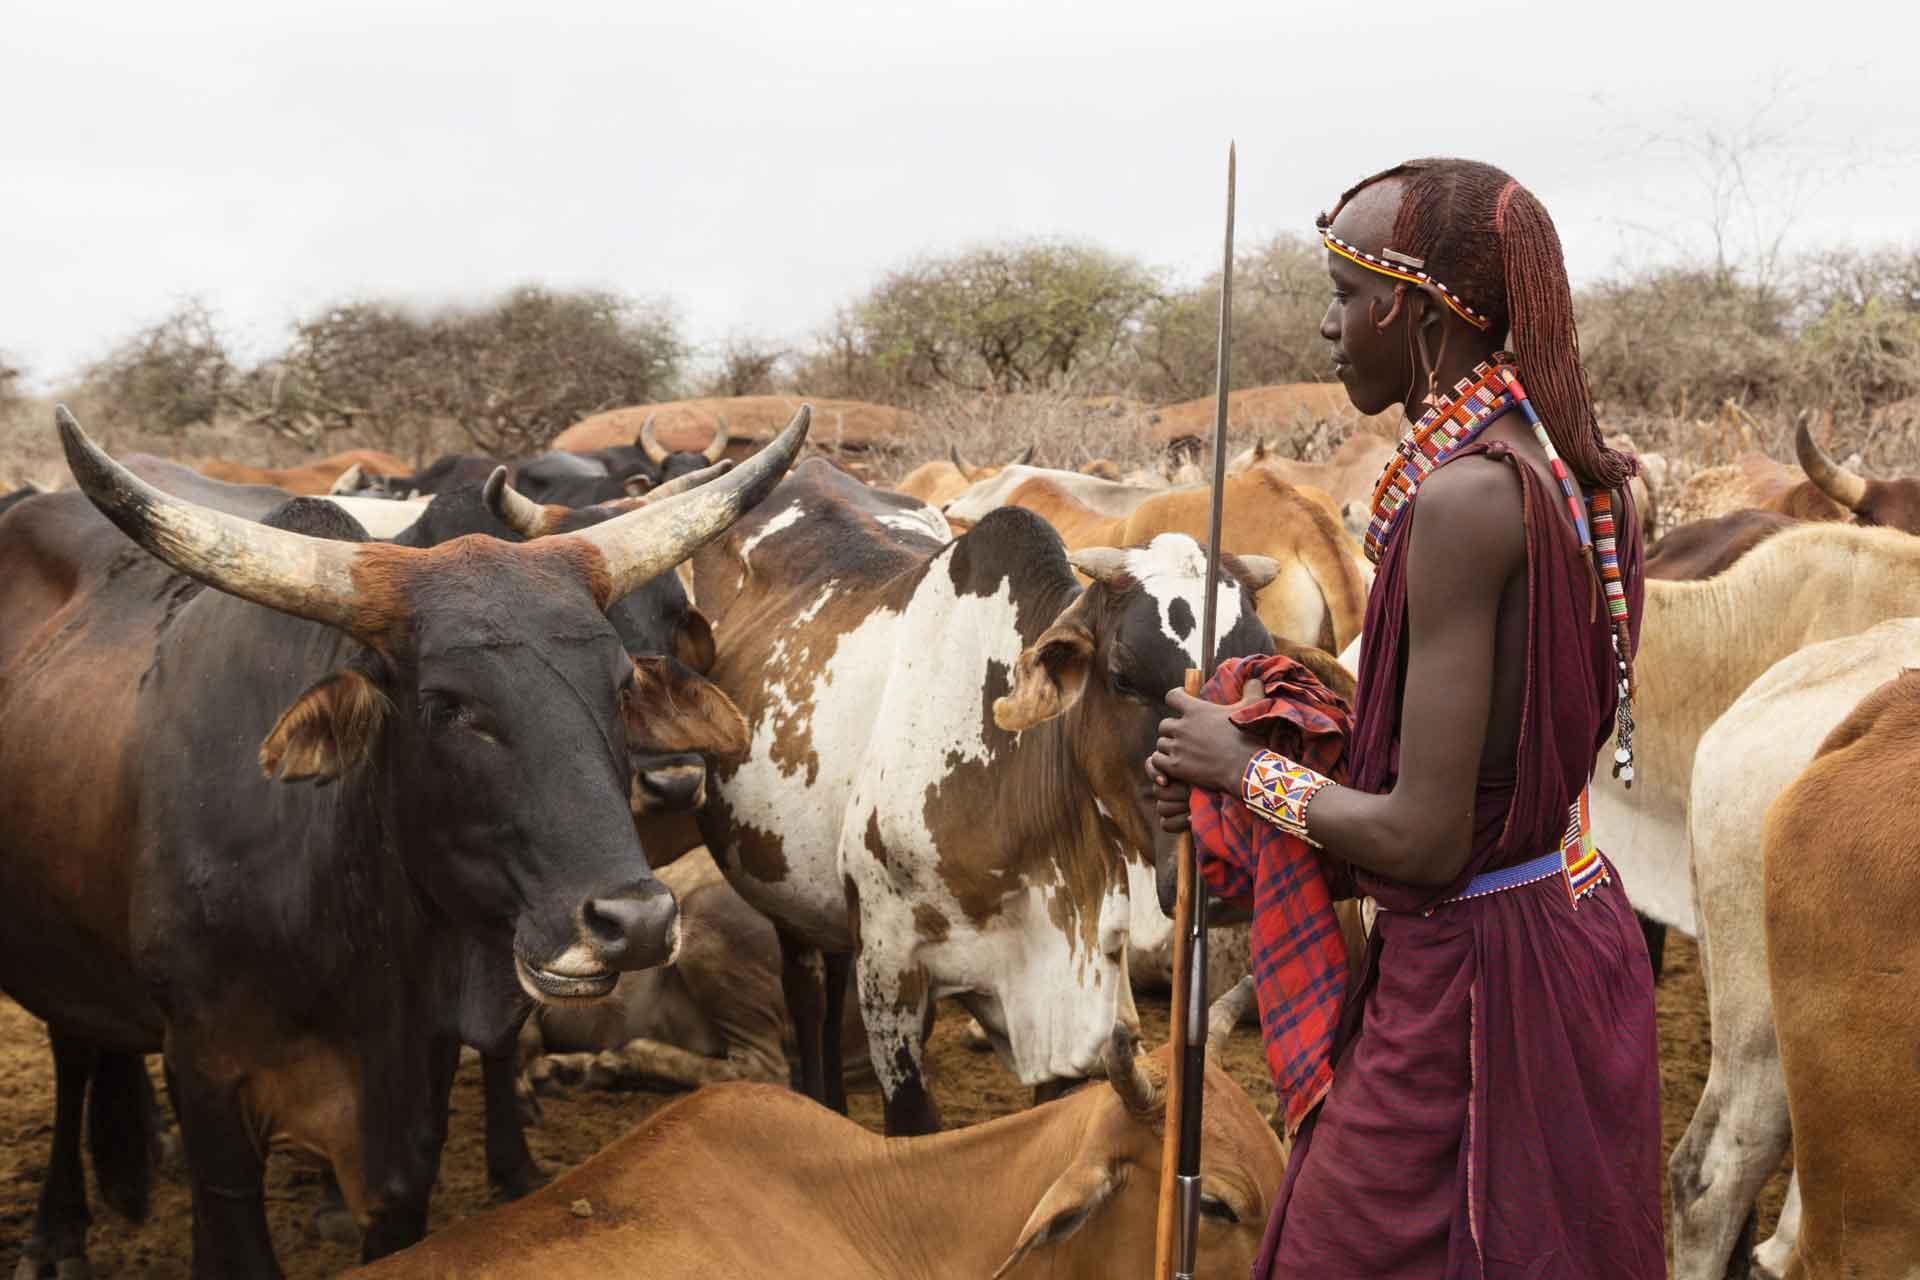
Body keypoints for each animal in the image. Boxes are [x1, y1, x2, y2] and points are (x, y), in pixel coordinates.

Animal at [0, 408, 802, 1274]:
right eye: (446, 705)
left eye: (622, 685)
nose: (638, 922)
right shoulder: (212, 1084)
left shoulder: (414, 1099)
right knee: (76, 1053)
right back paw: (57, 1231)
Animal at [691, 458, 1274, 1128]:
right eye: (1123, 676)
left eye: (1263, 669)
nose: (1222, 873)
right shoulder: (891, 972)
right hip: (786, 901)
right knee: (809, 996)